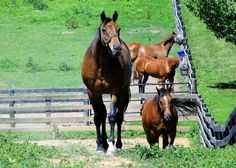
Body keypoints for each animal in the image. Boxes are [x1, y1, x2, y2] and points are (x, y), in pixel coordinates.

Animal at [81, 10, 132, 155]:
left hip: (123, 93)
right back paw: (102, 143)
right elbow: (98, 117)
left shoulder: (113, 91)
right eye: (104, 30)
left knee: (119, 117)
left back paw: (117, 144)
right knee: (103, 113)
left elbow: (112, 117)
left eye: (118, 29)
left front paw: (111, 146)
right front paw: (100, 145)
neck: (100, 65)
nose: (117, 48)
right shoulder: (93, 92)